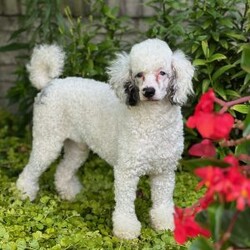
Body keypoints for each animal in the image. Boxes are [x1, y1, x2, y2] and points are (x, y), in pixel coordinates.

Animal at [16, 38, 194, 239]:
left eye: (162, 72)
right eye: (138, 74)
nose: (148, 91)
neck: (153, 120)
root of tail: (50, 83)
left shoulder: (164, 172)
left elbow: (163, 204)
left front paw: (165, 225)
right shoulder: (126, 170)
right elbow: (125, 205)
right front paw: (126, 231)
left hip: (77, 147)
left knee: (63, 170)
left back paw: (69, 193)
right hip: (48, 140)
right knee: (31, 170)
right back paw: (24, 193)